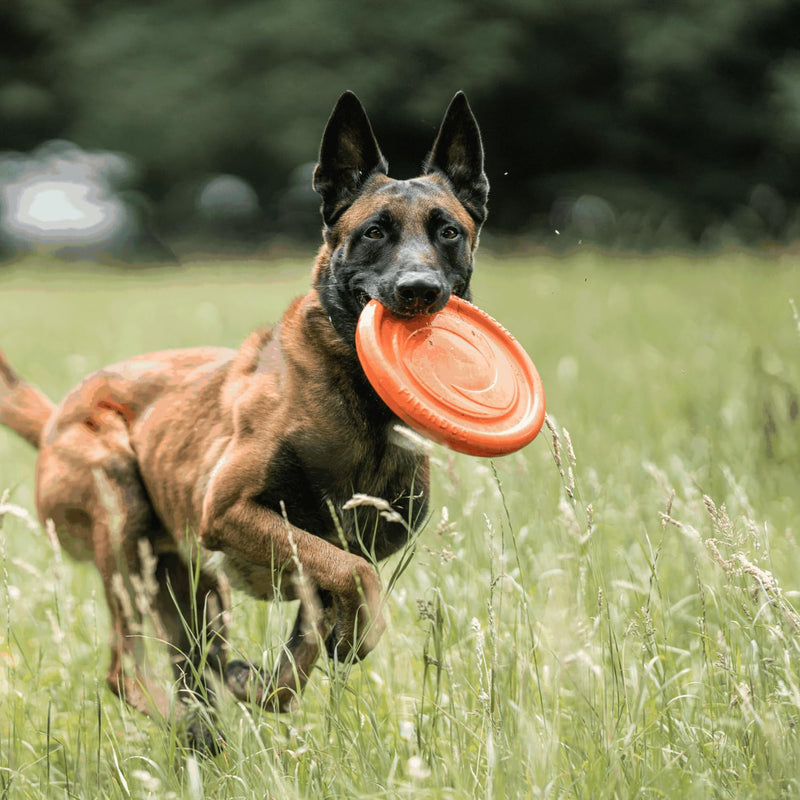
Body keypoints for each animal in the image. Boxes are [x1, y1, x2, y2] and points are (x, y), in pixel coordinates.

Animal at [0, 92, 490, 752]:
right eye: (373, 232)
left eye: (448, 232)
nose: (419, 290)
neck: (360, 405)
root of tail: (56, 418)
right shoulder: (231, 513)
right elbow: (354, 576)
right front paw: (350, 639)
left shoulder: (341, 547)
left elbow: (311, 628)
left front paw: (272, 678)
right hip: (121, 513)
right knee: (124, 670)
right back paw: (185, 727)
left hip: (195, 593)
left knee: (191, 667)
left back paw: (206, 735)